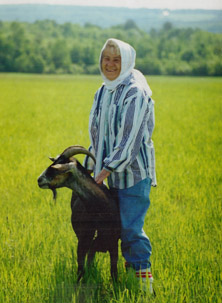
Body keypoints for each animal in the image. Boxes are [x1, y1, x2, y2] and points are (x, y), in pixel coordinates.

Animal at [38, 146, 121, 282]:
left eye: (55, 169)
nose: (39, 180)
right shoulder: (82, 242)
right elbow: (81, 270)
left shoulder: (113, 243)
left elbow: (113, 272)